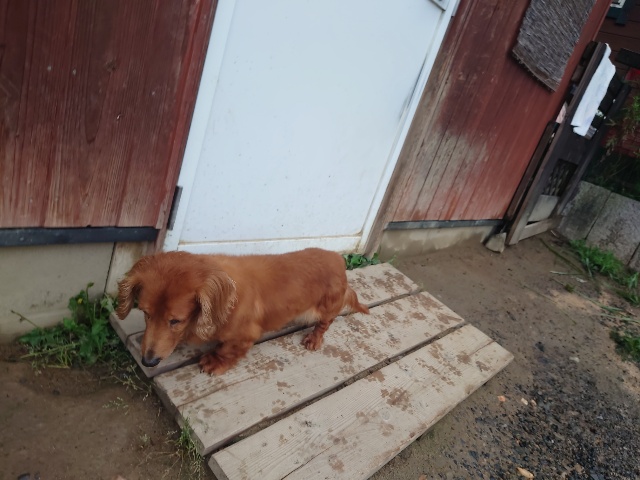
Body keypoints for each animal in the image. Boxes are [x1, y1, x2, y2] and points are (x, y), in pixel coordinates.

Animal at [116, 248, 369, 375]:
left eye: (175, 321)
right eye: (146, 313)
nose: (148, 361)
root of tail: (339, 259)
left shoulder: (245, 335)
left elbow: (228, 350)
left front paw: (215, 362)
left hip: (327, 307)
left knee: (325, 324)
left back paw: (314, 339)